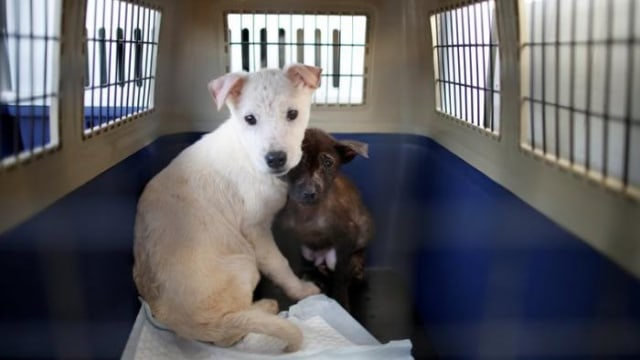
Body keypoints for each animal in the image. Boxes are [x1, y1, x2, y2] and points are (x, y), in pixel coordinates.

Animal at [136, 64, 324, 352]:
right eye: (249, 119)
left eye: (292, 114)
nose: (275, 159)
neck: (247, 153)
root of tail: (184, 325)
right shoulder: (255, 229)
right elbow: (279, 263)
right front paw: (301, 290)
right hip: (244, 263)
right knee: (230, 335)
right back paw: (265, 306)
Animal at [274, 126, 372, 310]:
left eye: (328, 163)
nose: (309, 193)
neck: (307, 213)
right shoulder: (285, 236)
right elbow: (290, 267)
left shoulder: (347, 235)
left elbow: (340, 277)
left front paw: (341, 303)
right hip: (307, 254)